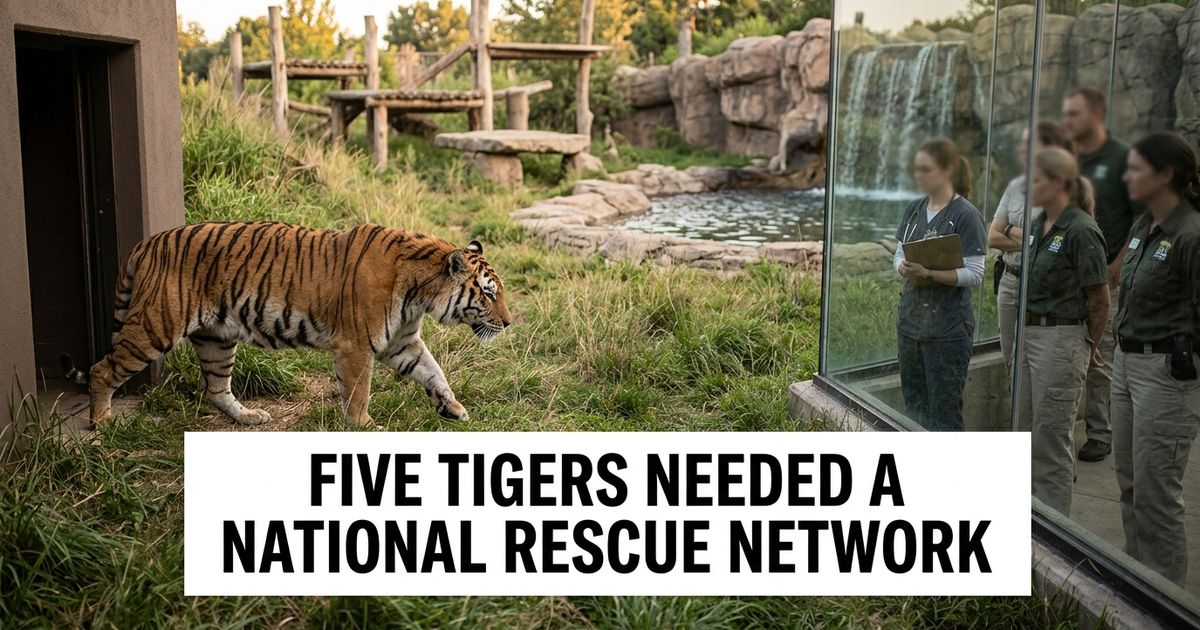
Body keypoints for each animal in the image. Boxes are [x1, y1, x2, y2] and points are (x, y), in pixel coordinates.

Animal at [79, 221, 511, 428]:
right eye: (489, 294)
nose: (508, 323)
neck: (420, 294)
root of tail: (147, 242)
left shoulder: (401, 342)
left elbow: (434, 372)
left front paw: (453, 408)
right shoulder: (356, 346)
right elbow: (359, 391)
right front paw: (364, 426)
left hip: (217, 338)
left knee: (216, 388)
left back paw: (248, 417)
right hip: (155, 326)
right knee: (102, 369)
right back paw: (102, 424)